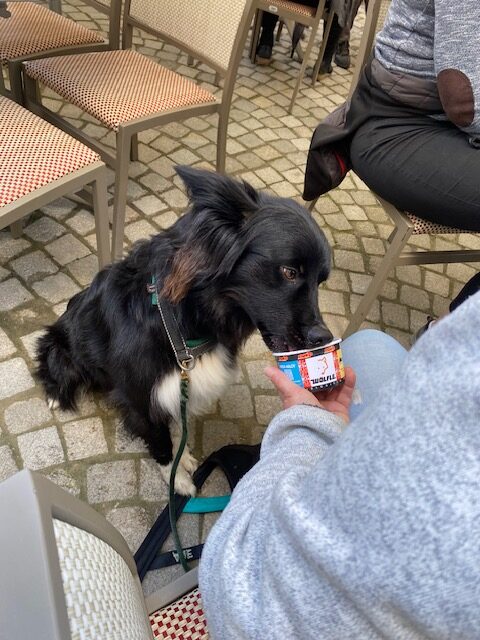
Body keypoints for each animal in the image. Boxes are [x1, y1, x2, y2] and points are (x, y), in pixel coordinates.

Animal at [36, 166, 333, 495]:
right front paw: (176, 478)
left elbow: (178, 425)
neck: (181, 320)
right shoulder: (141, 398)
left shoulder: (179, 386)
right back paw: (55, 394)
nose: (323, 338)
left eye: (321, 281)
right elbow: (161, 442)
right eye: (290, 272)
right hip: (60, 346)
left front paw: (185, 456)